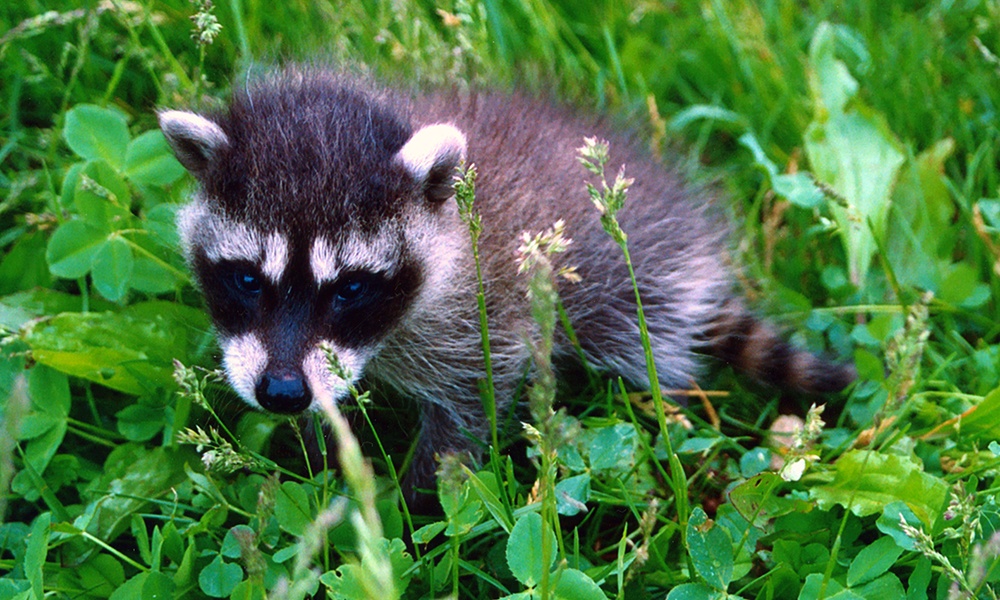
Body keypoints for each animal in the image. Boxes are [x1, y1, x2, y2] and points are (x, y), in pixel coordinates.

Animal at [159, 68, 854, 493]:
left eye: (350, 288)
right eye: (247, 279)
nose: (280, 393)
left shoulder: (482, 318)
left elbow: (464, 419)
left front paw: (416, 509)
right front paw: (324, 460)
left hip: (630, 287)